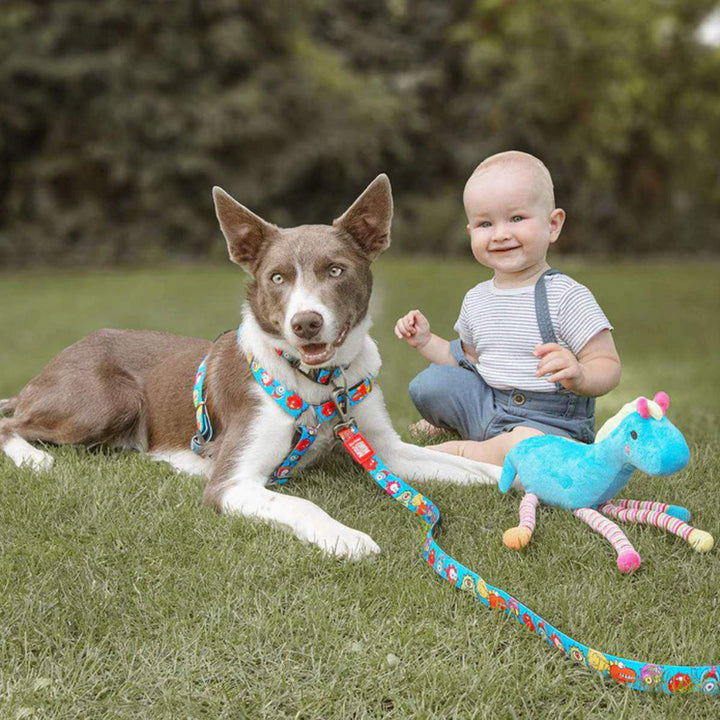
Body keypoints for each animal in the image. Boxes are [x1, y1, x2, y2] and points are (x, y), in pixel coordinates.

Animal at [0, 174, 500, 556]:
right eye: (277, 277)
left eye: (336, 270)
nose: (305, 323)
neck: (318, 381)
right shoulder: (232, 483)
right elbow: (300, 505)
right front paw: (346, 537)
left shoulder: (383, 449)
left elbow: (452, 460)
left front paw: (505, 474)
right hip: (108, 401)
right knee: (11, 423)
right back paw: (33, 458)